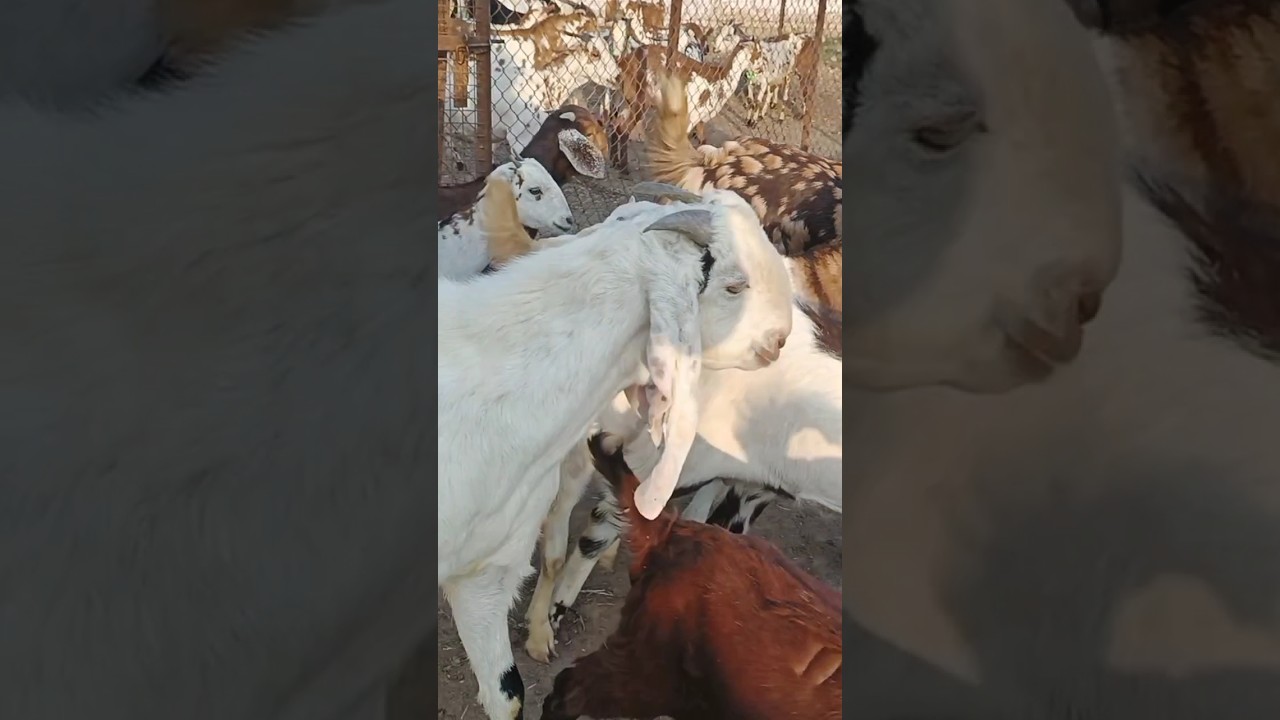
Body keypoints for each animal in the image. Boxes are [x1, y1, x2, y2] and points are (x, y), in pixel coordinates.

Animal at [608, 40, 755, 171]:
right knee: (624, 128)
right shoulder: (691, 116)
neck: (719, 79)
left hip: (623, 100)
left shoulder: (700, 118)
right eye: (758, 53)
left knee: (616, 126)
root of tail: (625, 61)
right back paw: (624, 168)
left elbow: (703, 142)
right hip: (639, 100)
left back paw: (615, 162)